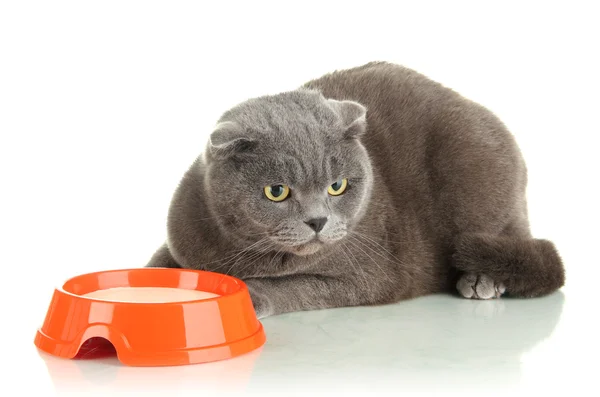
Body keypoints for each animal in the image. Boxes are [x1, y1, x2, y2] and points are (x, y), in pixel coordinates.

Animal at [144, 61, 564, 318]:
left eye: (337, 186)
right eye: (277, 191)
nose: (317, 221)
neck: (242, 254)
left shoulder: (367, 275)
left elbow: (293, 285)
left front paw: (251, 295)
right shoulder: (182, 238)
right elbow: (159, 263)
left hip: (473, 176)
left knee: (511, 237)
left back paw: (481, 279)